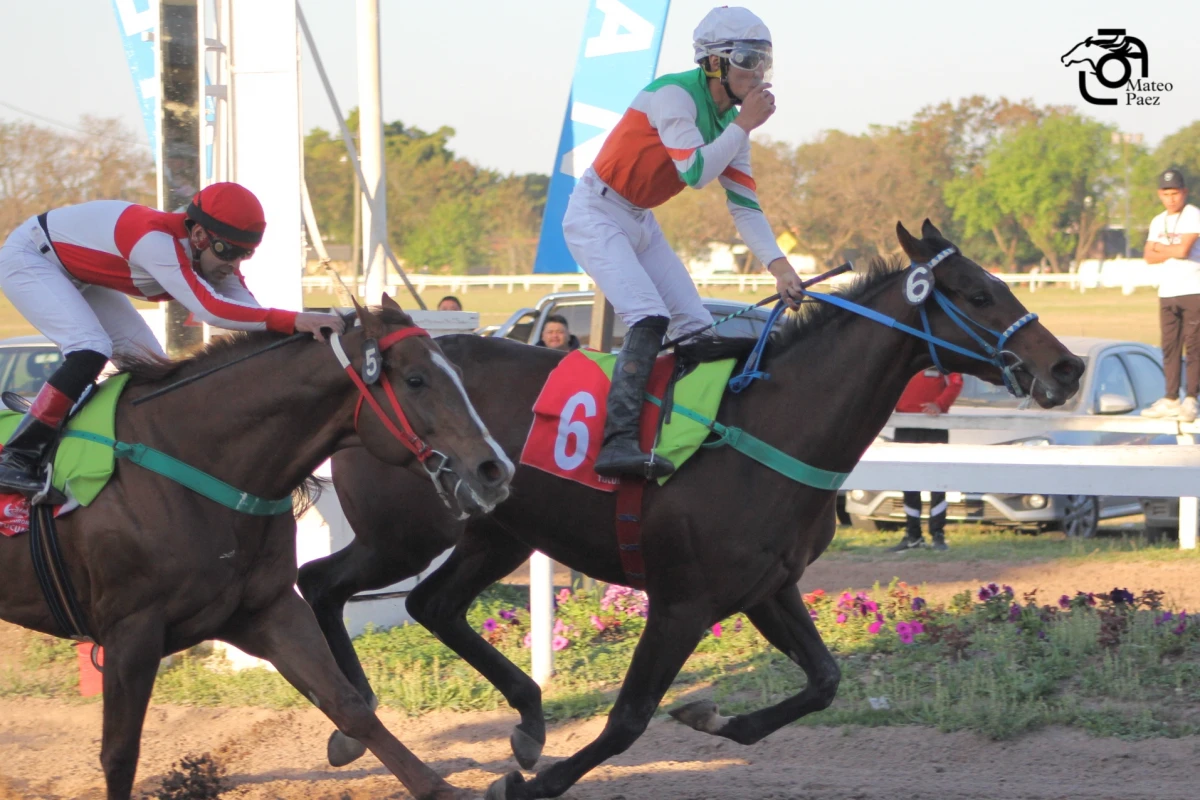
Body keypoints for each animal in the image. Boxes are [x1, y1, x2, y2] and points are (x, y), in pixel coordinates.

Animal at [0, 297, 511, 800]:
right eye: (415, 380)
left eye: (457, 374)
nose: (495, 469)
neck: (190, 457)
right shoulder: (131, 630)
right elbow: (120, 755)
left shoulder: (267, 609)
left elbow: (348, 706)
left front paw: (446, 789)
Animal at [302, 220, 1089, 800]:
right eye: (976, 293)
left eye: (1001, 283)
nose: (1068, 366)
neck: (772, 427)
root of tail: (363, 373)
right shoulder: (683, 601)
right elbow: (627, 720)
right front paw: (532, 785)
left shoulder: (767, 587)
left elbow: (824, 681)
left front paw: (710, 714)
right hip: (405, 533)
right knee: (321, 583)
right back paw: (353, 714)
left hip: (494, 532)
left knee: (430, 604)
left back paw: (519, 719)